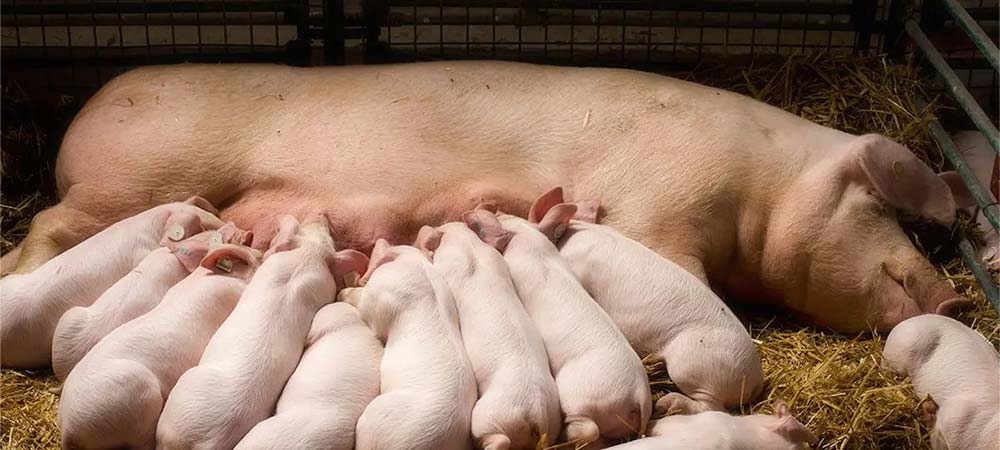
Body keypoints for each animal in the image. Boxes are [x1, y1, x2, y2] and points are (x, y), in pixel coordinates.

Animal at [12, 61, 974, 332]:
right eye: (877, 207)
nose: (957, 296)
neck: (760, 190)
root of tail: (86, 109)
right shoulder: (664, 199)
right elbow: (677, 272)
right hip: (129, 180)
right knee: (51, 225)